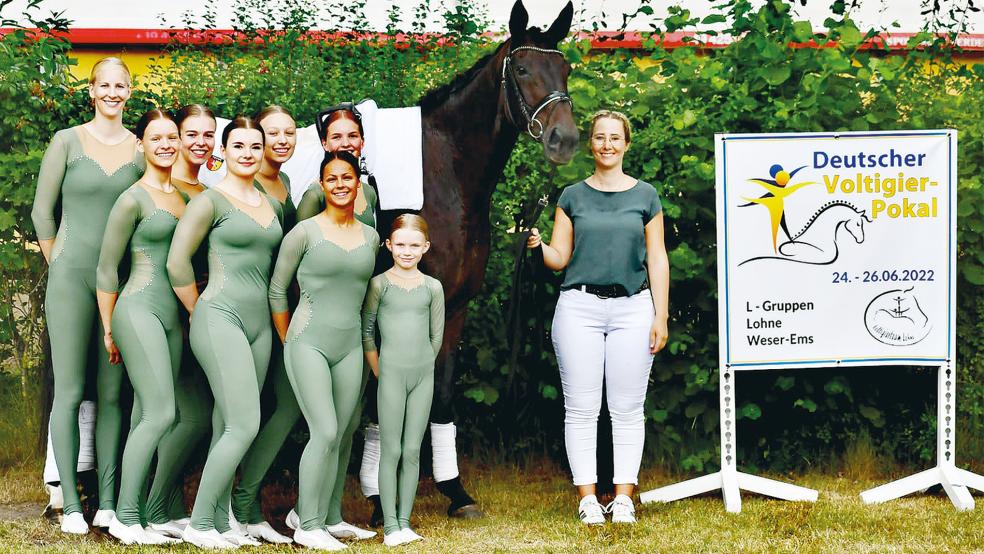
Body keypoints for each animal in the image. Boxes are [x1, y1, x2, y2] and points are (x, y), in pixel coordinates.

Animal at [374, 0, 576, 512]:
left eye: (565, 69)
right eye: (521, 69)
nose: (564, 139)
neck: (441, 177)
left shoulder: (454, 304)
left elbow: (443, 393)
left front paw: (454, 490)